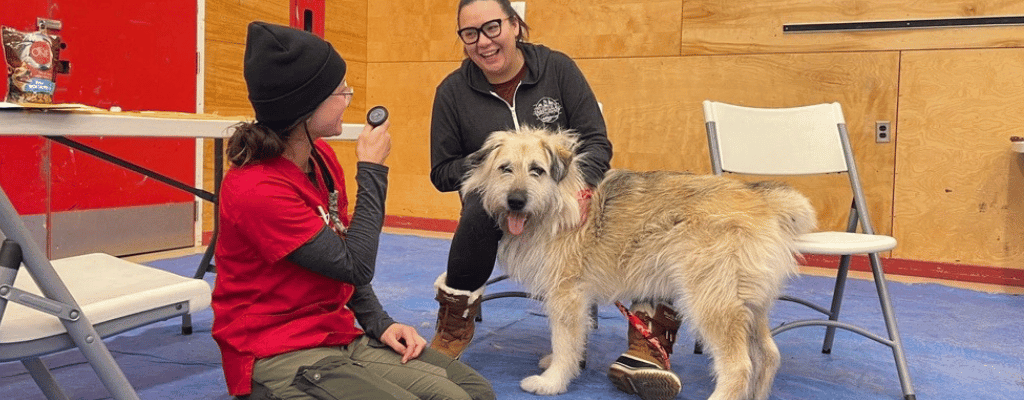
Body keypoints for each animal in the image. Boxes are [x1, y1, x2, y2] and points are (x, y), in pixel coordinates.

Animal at [462, 128, 815, 400]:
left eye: (537, 170)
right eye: (505, 168)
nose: (516, 201)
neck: (557, 205)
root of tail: (765, 200)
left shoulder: (566, 296)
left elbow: (564, 341)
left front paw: (553, 381)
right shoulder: (577, 298)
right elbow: (575, 339)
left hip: (711, 303)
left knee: (739, 366)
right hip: (750, 306)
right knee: (768, 355)